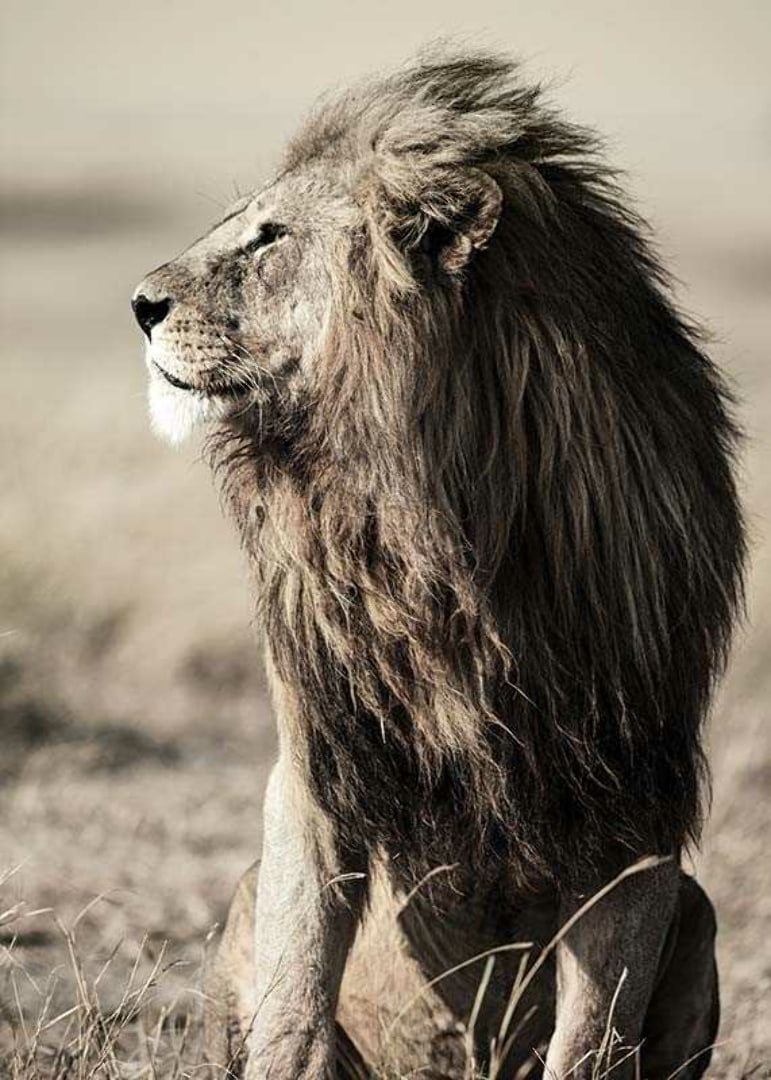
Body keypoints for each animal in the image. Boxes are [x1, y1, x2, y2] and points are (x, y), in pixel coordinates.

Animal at [132, 52, 744, 1078]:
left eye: (270, 237)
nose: (140, 305)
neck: (429, 519)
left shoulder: (639, 801)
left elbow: (591, 1036)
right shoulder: (316, 763)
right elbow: (294, 1002)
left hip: (697, 914)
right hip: (247, 891)